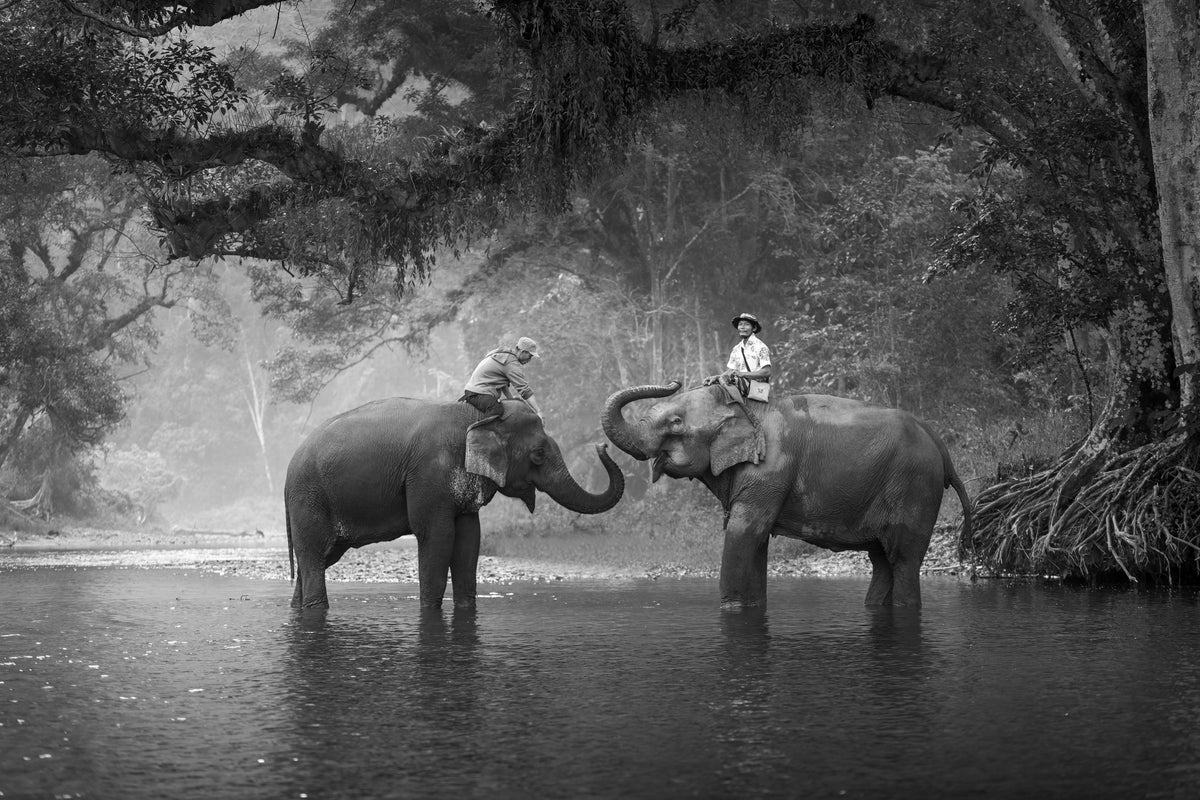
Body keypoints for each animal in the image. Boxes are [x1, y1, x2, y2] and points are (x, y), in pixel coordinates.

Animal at [284, 397, 624, 609]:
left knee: (319, 558)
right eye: (538, 454)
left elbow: (469, 539)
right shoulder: (429, 473)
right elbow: (437, 536)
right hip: (309, 498)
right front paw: (430, 609)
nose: (602, 446)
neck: (477, 417)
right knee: (314, 555)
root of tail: (289, 466)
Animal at [602, 381, 971, 608]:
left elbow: (743, 534)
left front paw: (731, 608)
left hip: (915, 487)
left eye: (676, 422)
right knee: (881, 560)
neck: (747, 407)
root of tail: (940, 444)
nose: (674, 381)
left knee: (903, 559)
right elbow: (756, 542)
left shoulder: (770, 471)